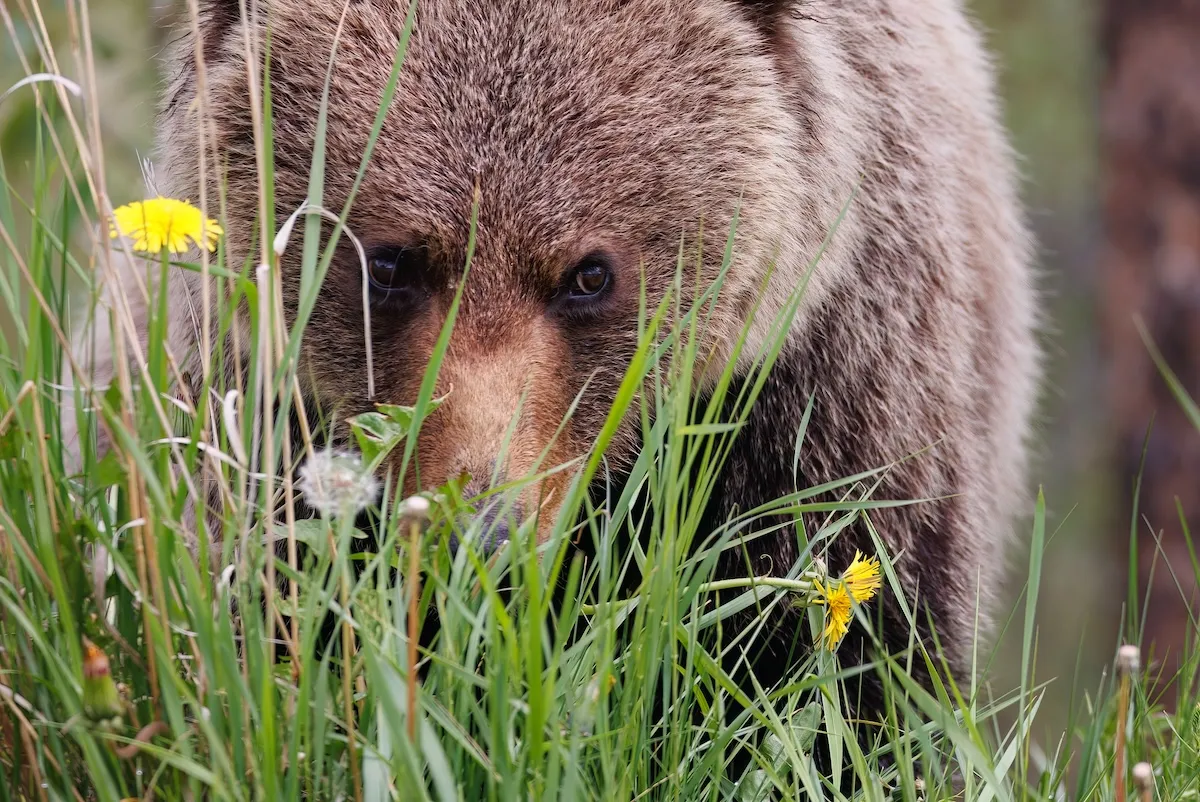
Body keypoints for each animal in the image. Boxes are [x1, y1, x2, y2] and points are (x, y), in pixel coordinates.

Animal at [65, 0, 1041, 782]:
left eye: (587, 273)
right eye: (392, 262)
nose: (481, 533)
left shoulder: (825, 396)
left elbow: (830, 677)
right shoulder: (260, 421)